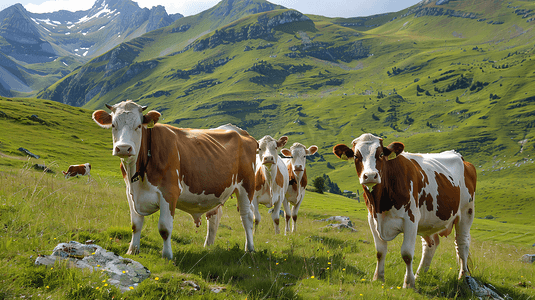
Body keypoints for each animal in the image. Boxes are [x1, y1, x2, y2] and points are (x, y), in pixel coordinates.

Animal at [92, 101, 260, 260]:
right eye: (113, 125)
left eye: (138, 126)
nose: (123, 148)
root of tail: (241, 132)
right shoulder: (131, 194)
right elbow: (135, 225)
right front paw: (132, 250)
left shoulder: (169, 193)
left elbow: (165, 228)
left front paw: (167, 255)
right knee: (214, 217)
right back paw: (208, 246)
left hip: (247, 186)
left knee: (247, 216)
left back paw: (250, 249)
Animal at [336, 134, 478, 288]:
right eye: (356, 156)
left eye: (381, 154)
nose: (370, 175)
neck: (381, 204)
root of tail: (460, 157)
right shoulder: (372, 219)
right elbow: (380, 251)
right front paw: (378, 278)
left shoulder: (411, 219)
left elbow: (407, 254)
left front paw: (408, 283)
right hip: (427, 220)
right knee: (430, 245)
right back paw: (419, 275)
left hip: (466, 212)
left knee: (462, 243)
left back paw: (463, 276)